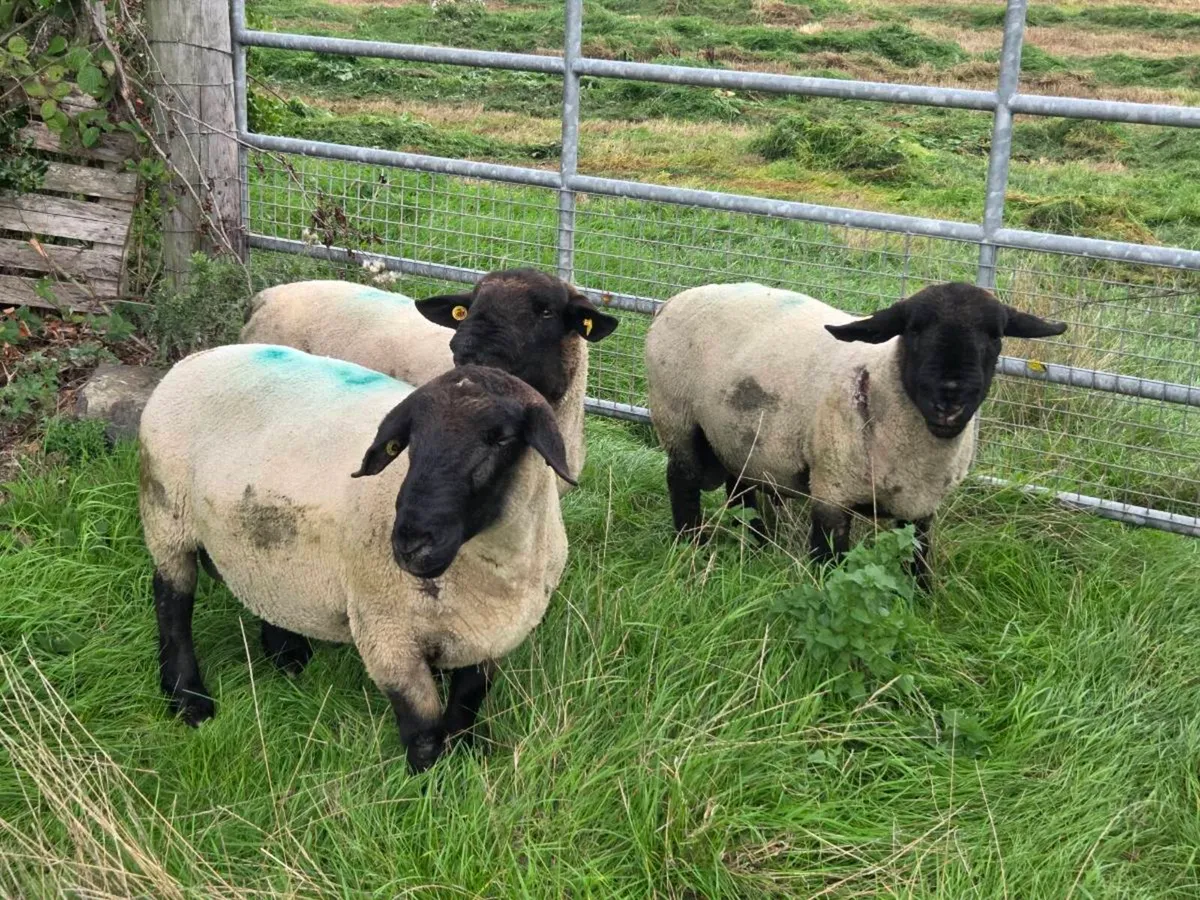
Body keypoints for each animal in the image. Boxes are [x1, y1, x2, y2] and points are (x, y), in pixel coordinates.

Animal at [139, 344, 575, 772]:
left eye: (500, 439)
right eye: (410, 441)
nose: (410, 543)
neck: (494, 569)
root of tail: (197, 357)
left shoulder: (491, 638)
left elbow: (466, 704)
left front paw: (465, 757)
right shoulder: (387, 635)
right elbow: (423, 729)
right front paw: (426, 783)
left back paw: (287, 657)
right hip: (167, 518)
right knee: (171, 604)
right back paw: (188, 699)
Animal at [644, 281, 1067, 586]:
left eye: (995, 336)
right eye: (913, 330)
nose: (951, 398)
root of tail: (674, 300)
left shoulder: (919, 507)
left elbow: (918, 563)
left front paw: (920, 605)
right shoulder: (832, 490)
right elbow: (829, 565)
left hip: (737, 437)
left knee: (742, 491)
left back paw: (758, 546)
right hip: (676, 416)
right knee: (681, 481)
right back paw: (692, 545)